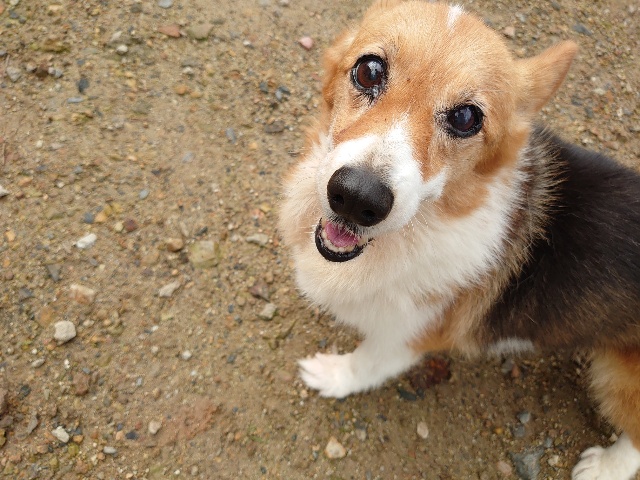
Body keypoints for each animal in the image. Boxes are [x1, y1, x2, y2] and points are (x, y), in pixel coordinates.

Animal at [278, 1, 640, 479]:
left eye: (466, 118)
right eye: (369, 70)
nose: (356, 198)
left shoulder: (406, 337)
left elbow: (366, 363)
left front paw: (333, 376)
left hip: (622, 377)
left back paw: (604, 466)